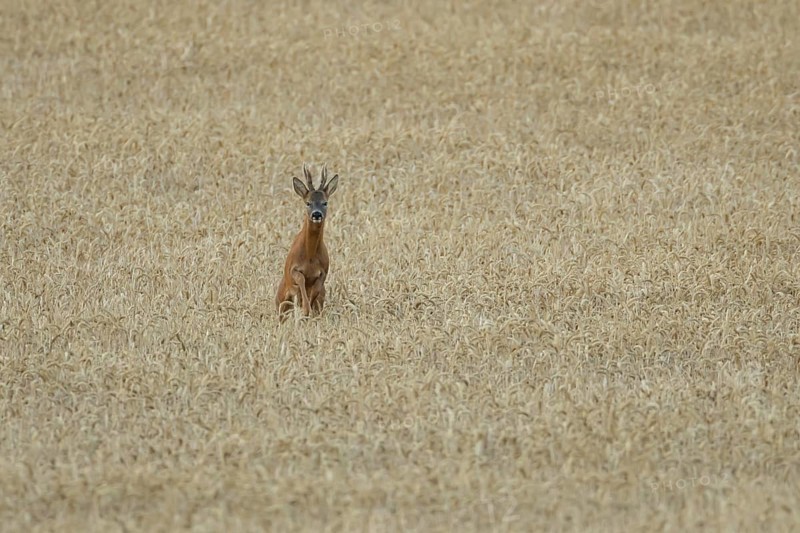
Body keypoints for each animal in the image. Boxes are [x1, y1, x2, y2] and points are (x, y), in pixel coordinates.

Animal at [275, 163, 339, 321]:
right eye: (308, 203)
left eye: (325, 202)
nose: (316, 214)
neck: (310, 256)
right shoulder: (293, 269)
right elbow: (301, 281)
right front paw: (305, 308)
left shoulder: (323, 272)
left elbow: (315, 289)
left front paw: (307, 309)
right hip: (280, 302)